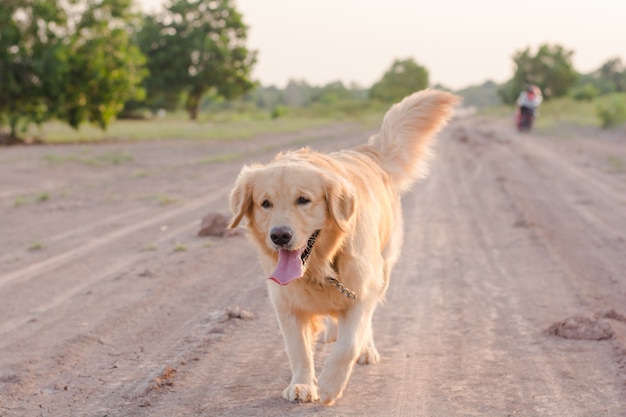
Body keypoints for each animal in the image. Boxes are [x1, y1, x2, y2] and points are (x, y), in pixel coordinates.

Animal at [227, 88, 456, 404]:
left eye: (303, 200)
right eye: (265, 203)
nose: (279, 236)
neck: (323, 263)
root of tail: (367, 152)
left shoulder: (362, 290)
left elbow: (349, 344)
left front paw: (329, 385)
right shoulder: (285, 303)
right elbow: (298, 349)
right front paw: (302, 384)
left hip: (383, 270)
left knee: (365, 324)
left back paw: (365, 349)